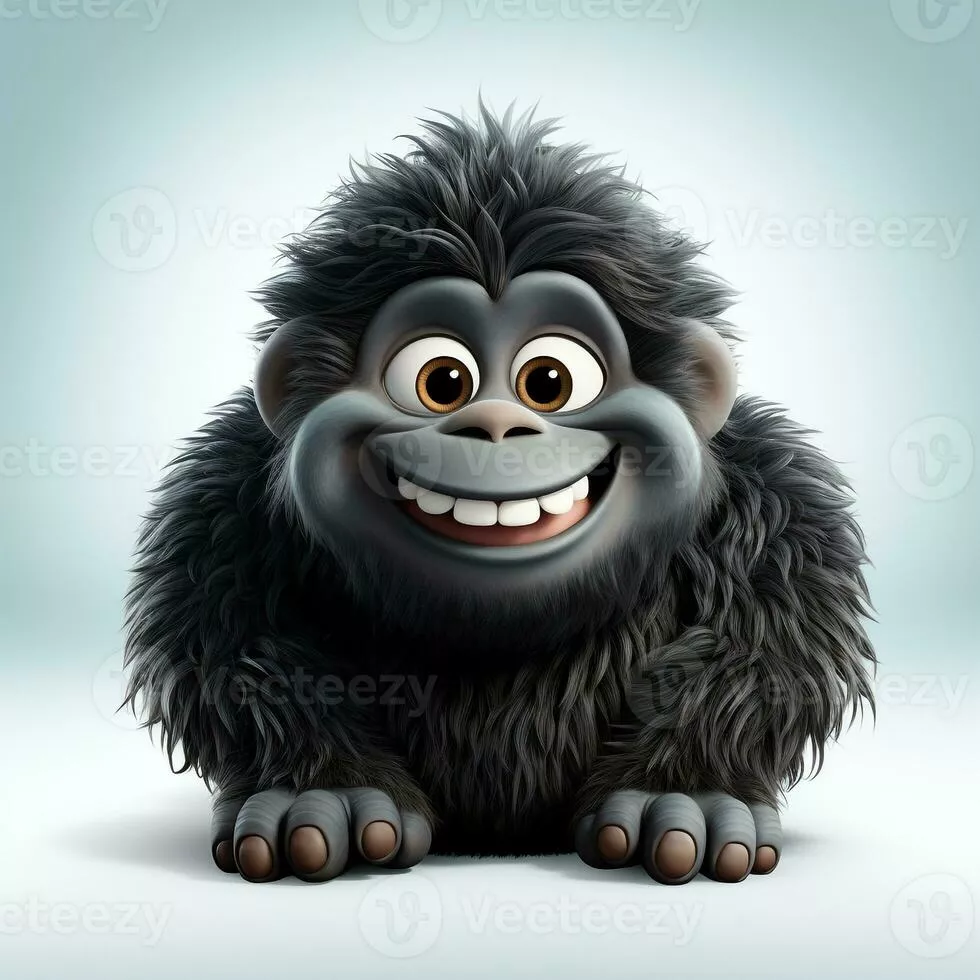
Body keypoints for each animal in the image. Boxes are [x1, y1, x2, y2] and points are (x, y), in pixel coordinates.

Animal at [123, 102, 875, 885]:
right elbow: (231, 643)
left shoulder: (774, 504)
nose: (494, 424)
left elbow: (773, 640)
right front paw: (321, 790)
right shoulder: (220, 509)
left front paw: (686, 791)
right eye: (441, 381)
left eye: (549, 379)